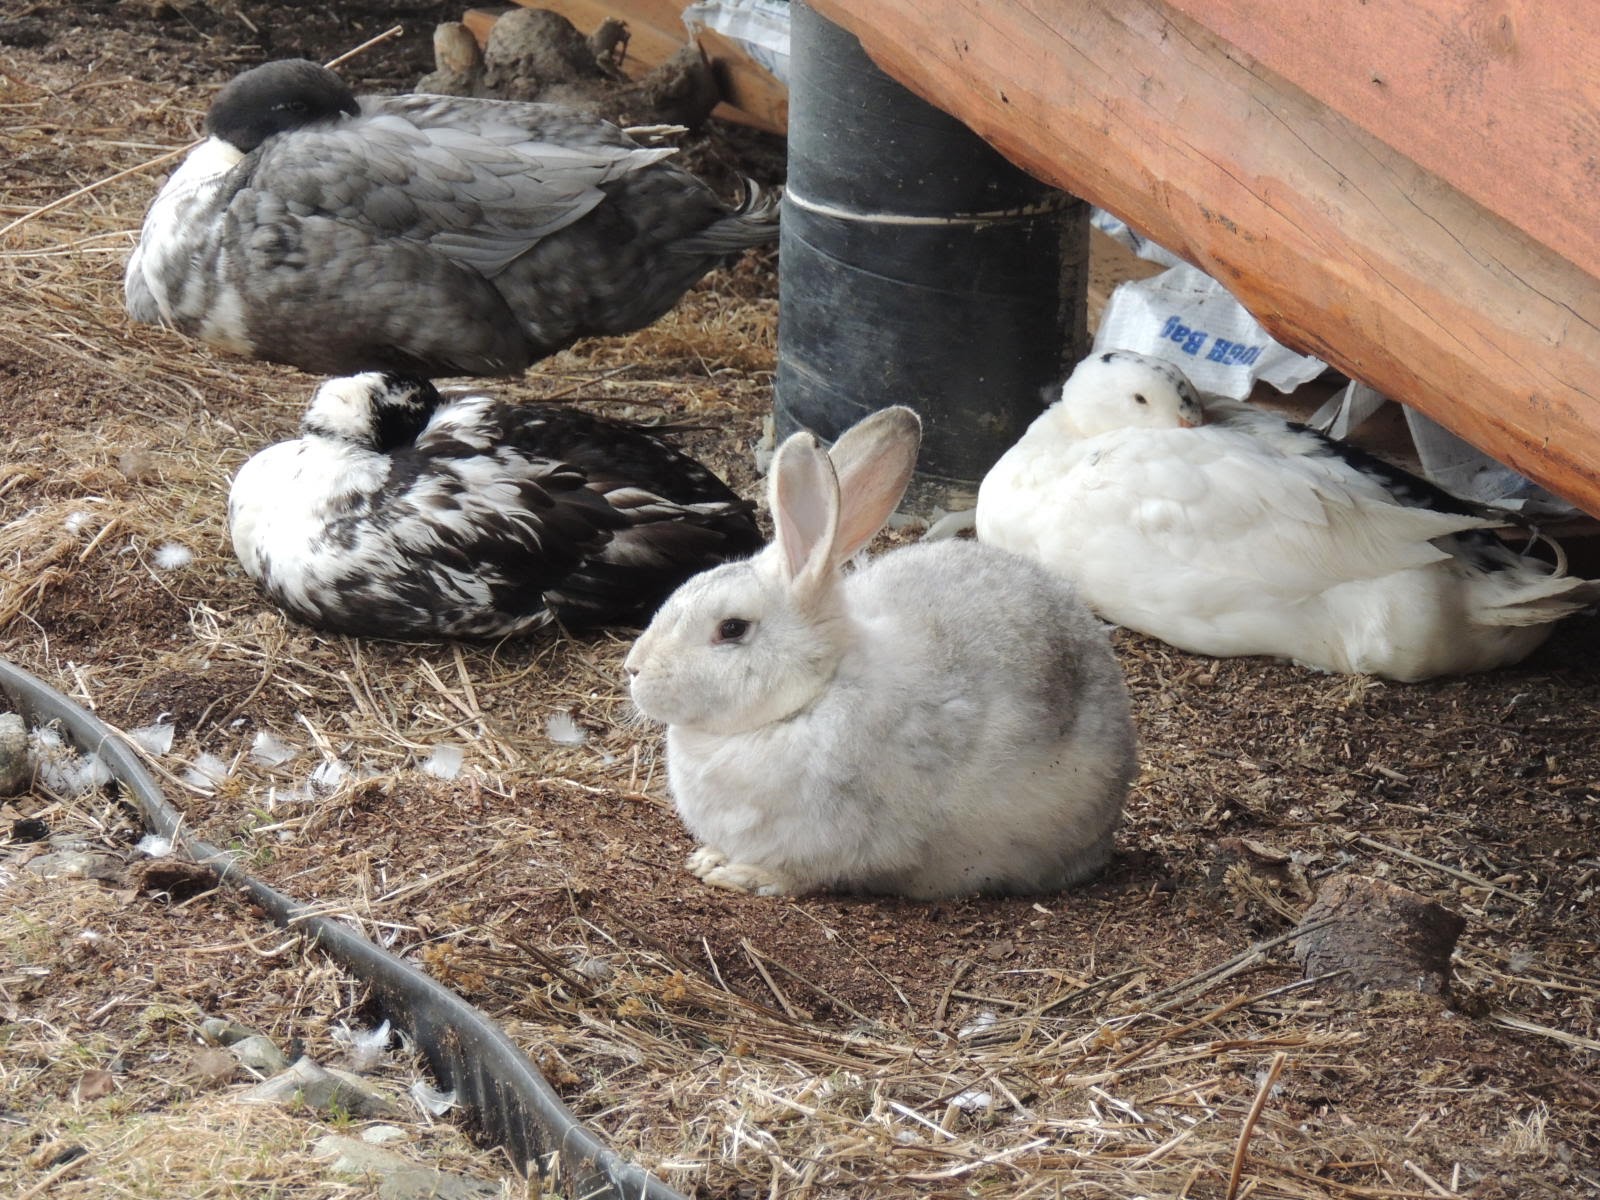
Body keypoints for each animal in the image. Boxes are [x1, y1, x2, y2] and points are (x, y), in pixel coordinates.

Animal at [623, 405, 1138, 899]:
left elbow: (802, 874)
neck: (811, 695)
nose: (633, 669)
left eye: (731, 628)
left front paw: (738, 874)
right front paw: (708, 858)